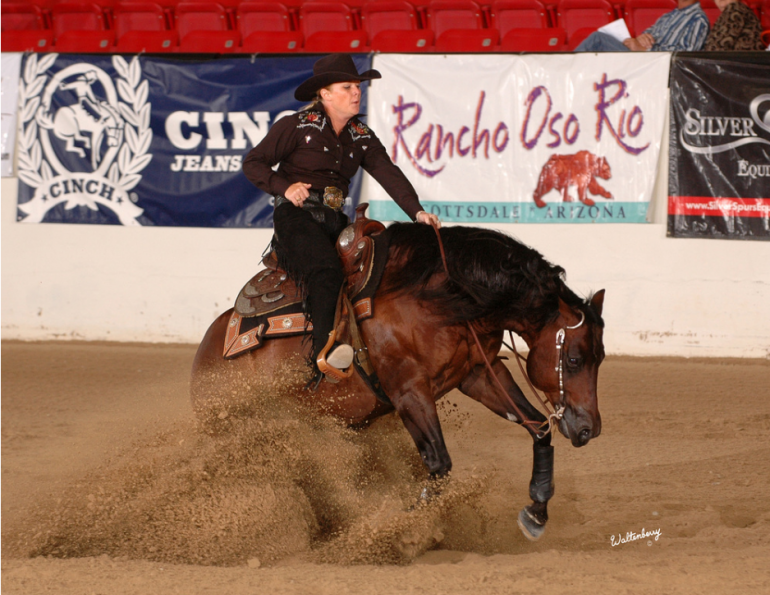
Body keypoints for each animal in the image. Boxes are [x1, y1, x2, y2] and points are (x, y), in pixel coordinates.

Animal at [190, 221, 605, 541]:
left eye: (600, 357)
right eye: (573, 358)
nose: (590, 428)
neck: (438, 298)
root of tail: (209, 348)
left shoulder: (479, 373)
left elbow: (537, 426)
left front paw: (536, 512)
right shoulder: (409, 392)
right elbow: (439, 465)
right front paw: (401, 531)